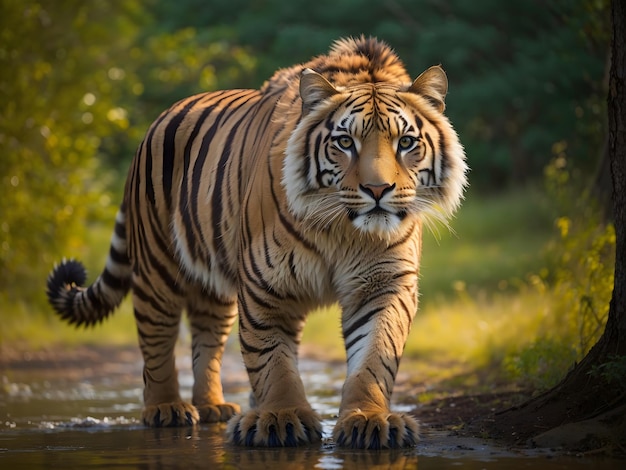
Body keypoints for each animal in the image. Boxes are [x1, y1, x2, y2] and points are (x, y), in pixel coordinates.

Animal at [46, 35, 466, 448]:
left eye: (406, 142)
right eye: (345, 142)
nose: (378, 189)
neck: (343, 229)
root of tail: (162, 116)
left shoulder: (383, 284)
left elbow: (375, 354)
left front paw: (369, 420)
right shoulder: (268, 283)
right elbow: (270, 357)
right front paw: (280, 417)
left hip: (213, 286)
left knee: (207, 341)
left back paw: (212, 406)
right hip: (157, 267)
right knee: (156, 339)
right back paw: (166, 409)